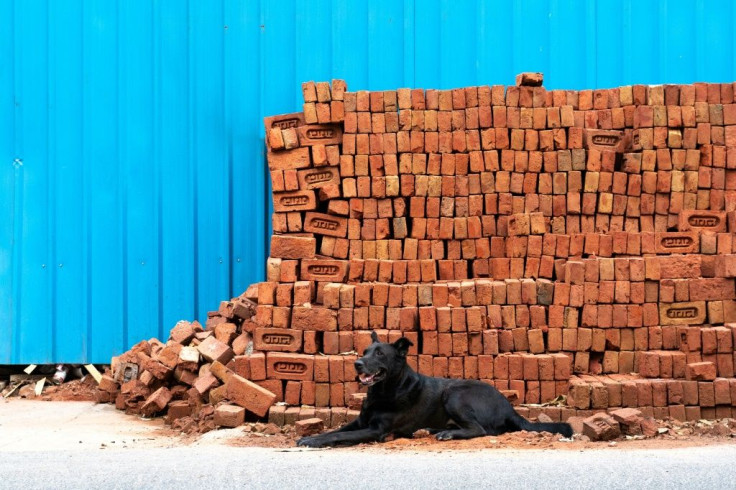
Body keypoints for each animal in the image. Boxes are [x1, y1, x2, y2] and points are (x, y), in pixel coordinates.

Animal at [296, 334, 572, 448]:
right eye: (364, 351)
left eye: (380, 354)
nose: (357, 363)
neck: (384, 391)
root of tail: (509, 407)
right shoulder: (360, 422)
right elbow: (334, 431)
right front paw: (314, 437)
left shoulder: (376, 430)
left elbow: (337, 436)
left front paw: (312, 441)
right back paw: (434, 429)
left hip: (455, 394)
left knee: (480, 430)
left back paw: (447, 434)